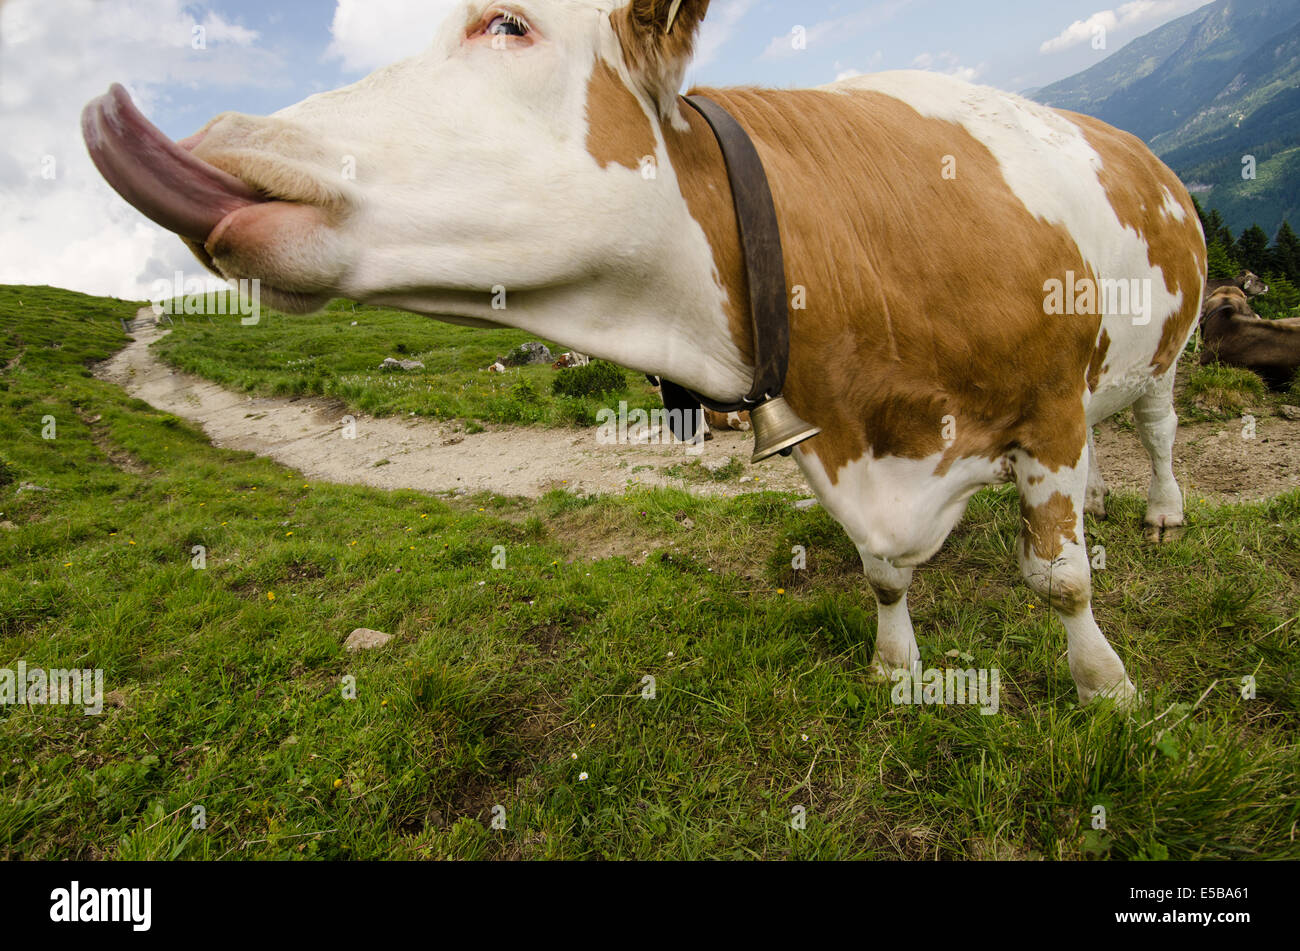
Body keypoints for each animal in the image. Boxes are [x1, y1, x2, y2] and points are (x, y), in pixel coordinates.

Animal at [82, 0, 1207, 706]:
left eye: (507, 23)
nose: (225, 135)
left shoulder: (1047, 409)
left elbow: (1059, 580)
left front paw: (1105, 686)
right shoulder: (844, 447)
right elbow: (885, 571)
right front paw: (895, 668)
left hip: (1164, 352)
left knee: (1154, 429)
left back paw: (1157, 511)